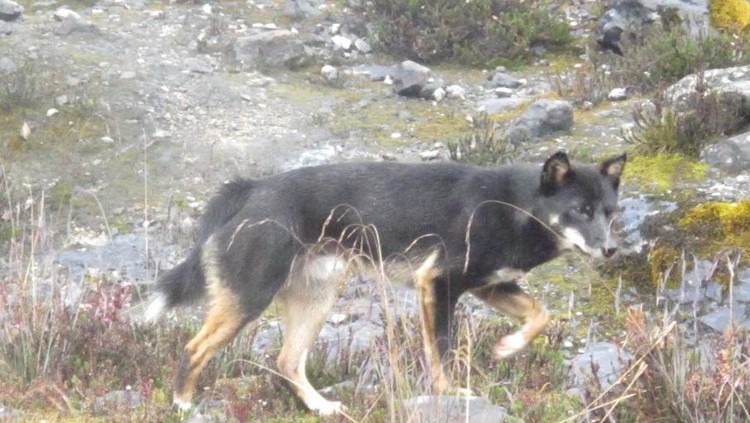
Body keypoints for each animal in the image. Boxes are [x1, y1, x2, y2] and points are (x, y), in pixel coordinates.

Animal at [147, 151, 628, 416]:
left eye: (611, 212)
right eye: (582, 211)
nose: (611, 251)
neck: (515, 205)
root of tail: (253, 188)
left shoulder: (489, 285)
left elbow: (540, 315)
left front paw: (508, 347)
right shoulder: (439, 284)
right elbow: (442, 352)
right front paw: (449, 392)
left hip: (316, 299)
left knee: (287, 361)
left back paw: (320, 407)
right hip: (251, 297)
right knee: (194, 349)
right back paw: (183, 404)